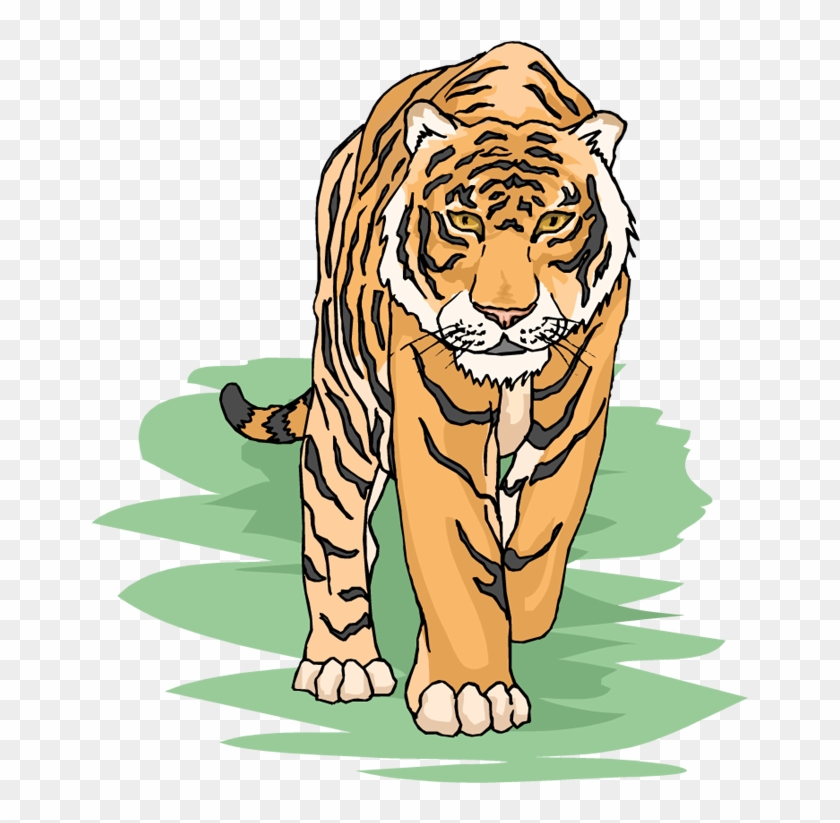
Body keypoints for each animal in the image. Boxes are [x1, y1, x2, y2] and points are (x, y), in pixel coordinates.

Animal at [219, 42, 636, 737]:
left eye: (555, 221)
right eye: (463, 220)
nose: (504, 313)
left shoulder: (576, 409)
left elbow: (539, 539)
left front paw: (508, 623)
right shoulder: (437, 421)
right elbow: (458, 557)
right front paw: (472, 693)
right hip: (347, 409)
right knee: (334, 533)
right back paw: (343, 663)